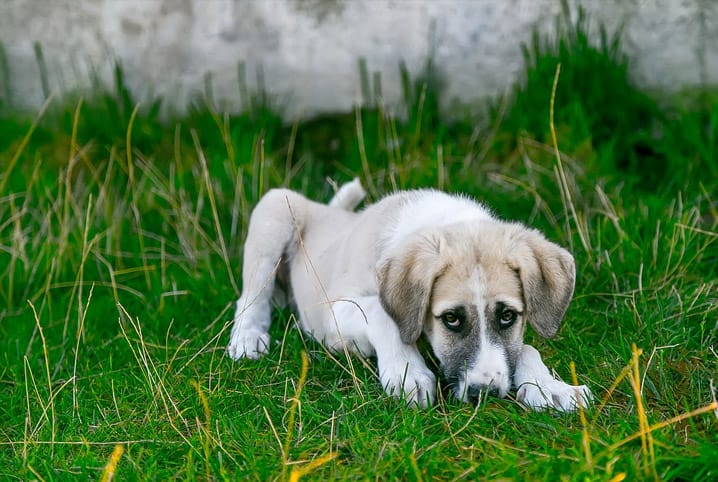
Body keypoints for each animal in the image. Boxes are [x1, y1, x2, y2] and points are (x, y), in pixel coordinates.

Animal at [228, 181, 592, 410]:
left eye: (507, 316)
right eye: (451, 319)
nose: (484, 393)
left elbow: (526, 347)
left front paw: (550, 387)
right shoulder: (335, 312)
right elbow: (382, 315)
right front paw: (407, 372)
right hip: (276, 208)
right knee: (250, 295)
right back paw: (248, 337)